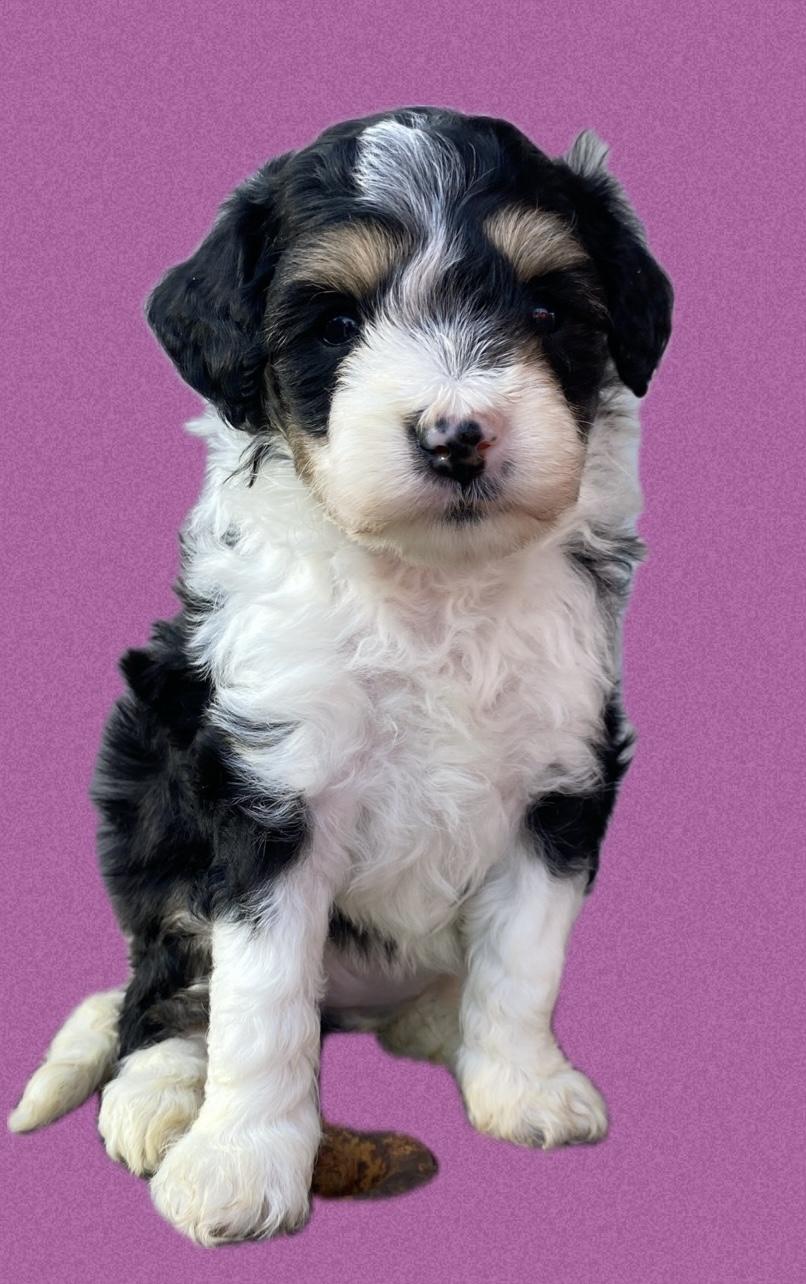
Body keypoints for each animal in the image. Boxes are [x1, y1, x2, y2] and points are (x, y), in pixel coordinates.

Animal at [9, 106, 673, 1244]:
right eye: (335, 323)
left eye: (549, 307)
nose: (456, 436)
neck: (430, 589)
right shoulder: (266, 788)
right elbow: (261, 1000)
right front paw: (238, 1164)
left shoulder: (562, 772)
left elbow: (524, 960)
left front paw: (523, 1086)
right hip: (150, 780)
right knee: (160, 987)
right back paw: (159, 1096)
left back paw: (438, 1024)